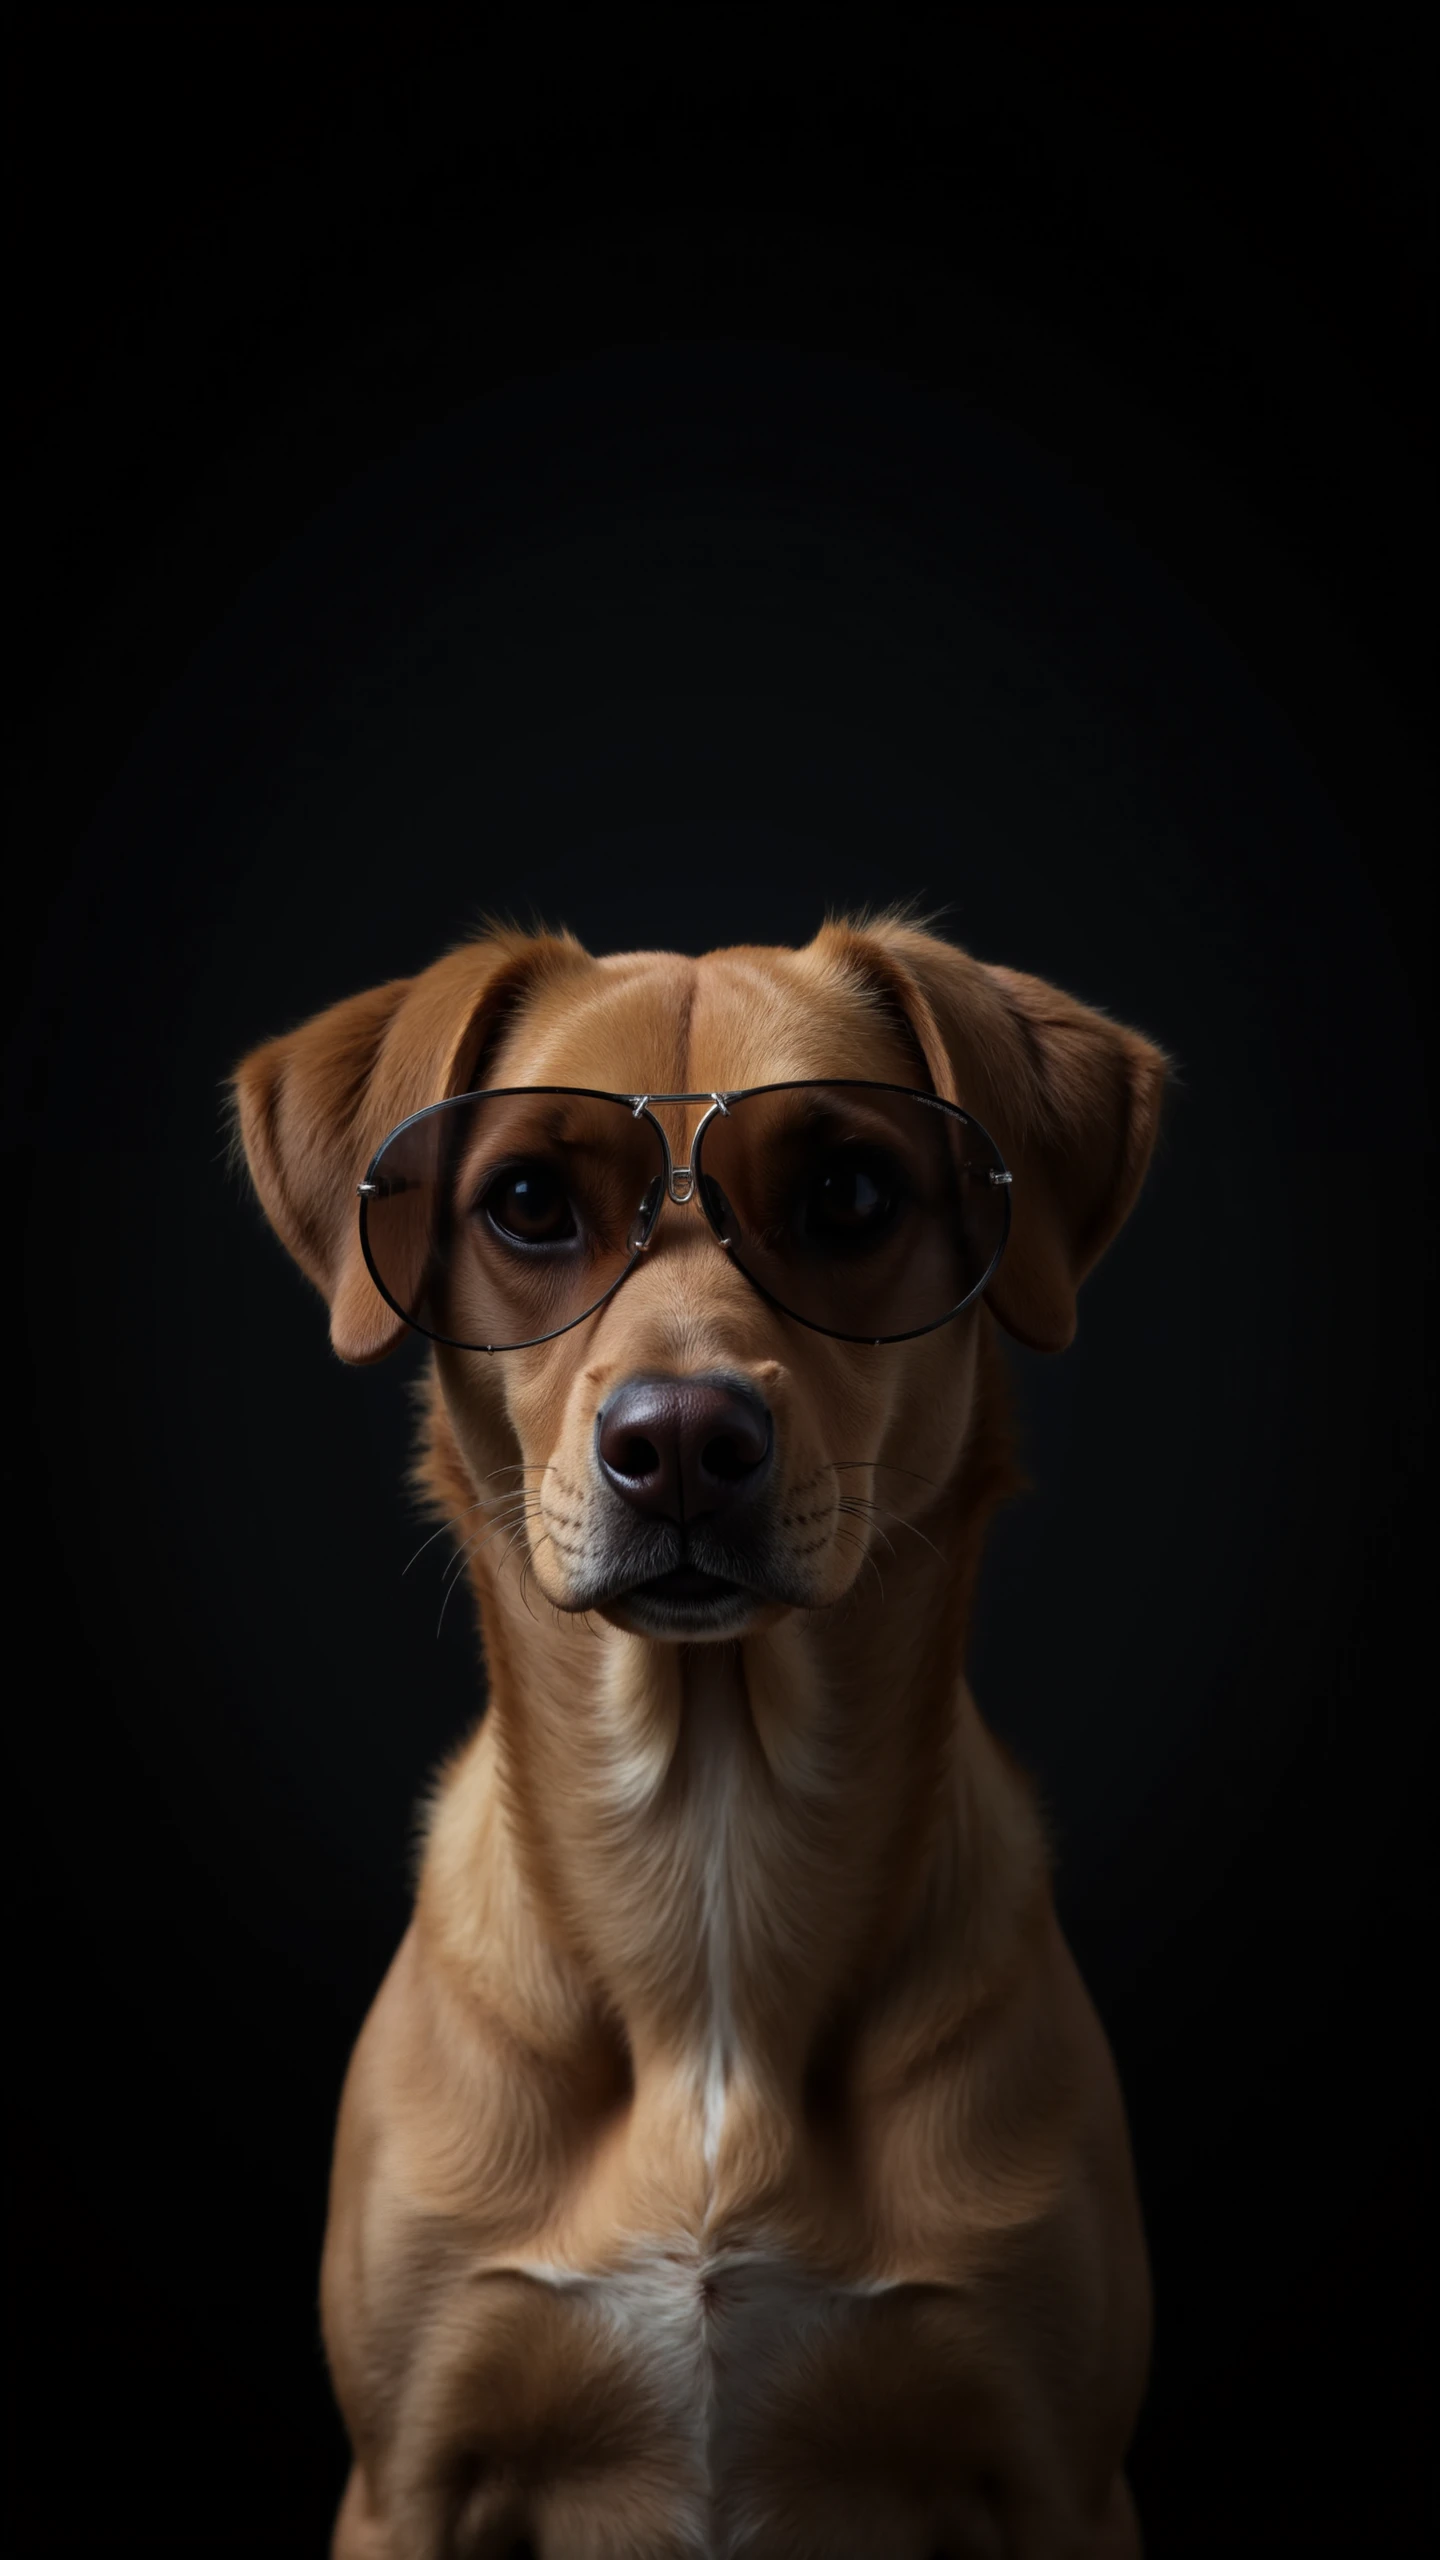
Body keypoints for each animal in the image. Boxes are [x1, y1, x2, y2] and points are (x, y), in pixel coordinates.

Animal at [229, 921, 1158, 2560]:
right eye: (528, 1202)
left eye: (850, 1191)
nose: (677, 1443)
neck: (712, 1866)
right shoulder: (405, 2484)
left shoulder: (1059, 2480)